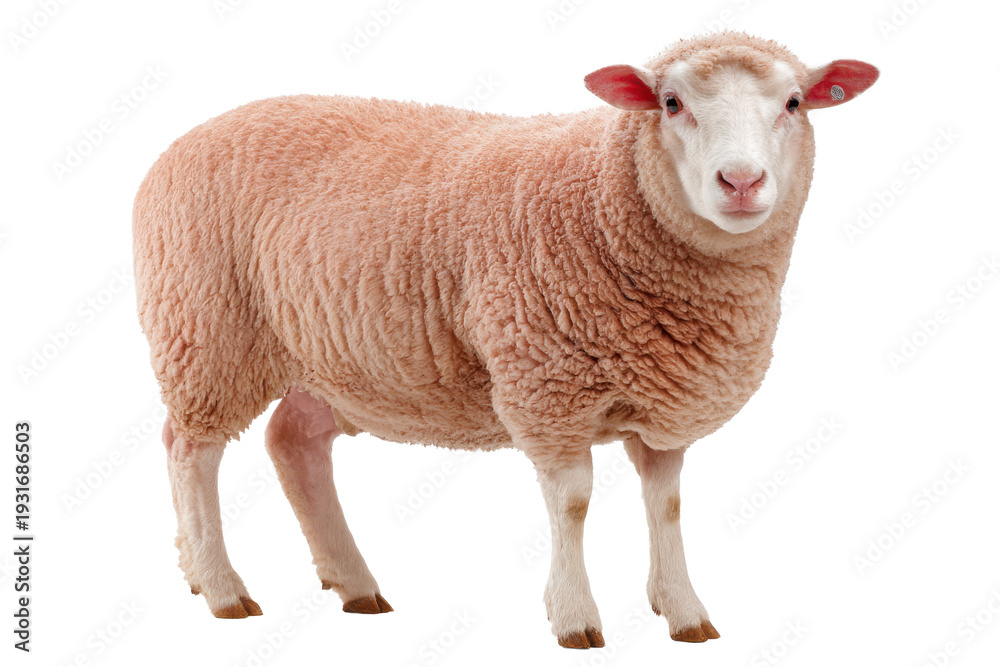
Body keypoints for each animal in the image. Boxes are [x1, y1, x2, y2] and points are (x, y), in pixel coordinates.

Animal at [132, 31, 878, 648]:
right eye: (671, 103)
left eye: (793, 102)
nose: (742, 182)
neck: (603, 201)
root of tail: (181, 142)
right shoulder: (547, 386)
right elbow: (573, 501)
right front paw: (574, 618)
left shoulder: (660, 401)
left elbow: (665, 502)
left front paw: (684, 610)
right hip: (205, 329)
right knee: (190, 450)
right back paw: (220, 586)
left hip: (326, 354)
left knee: (293, 440)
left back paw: (351, 582)